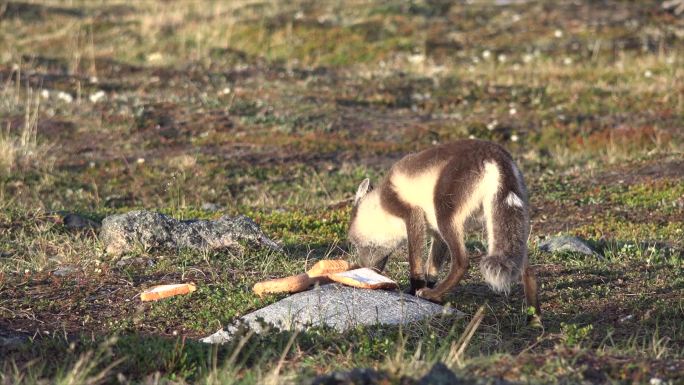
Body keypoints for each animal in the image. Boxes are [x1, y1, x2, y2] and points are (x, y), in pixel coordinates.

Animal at [350, 140, 544, 320]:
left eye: (356, 243)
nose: (364, 268)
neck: (382, 201)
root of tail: (493, 153)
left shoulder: (411, 214)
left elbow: (415, 262)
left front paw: (416, 290)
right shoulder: (436, 233)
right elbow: (431, 269)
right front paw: (429, 292)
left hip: (445, 214)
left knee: (462, 262)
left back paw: (431, 293)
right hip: (499, 223)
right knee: (527, 270)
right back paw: (534, 319)